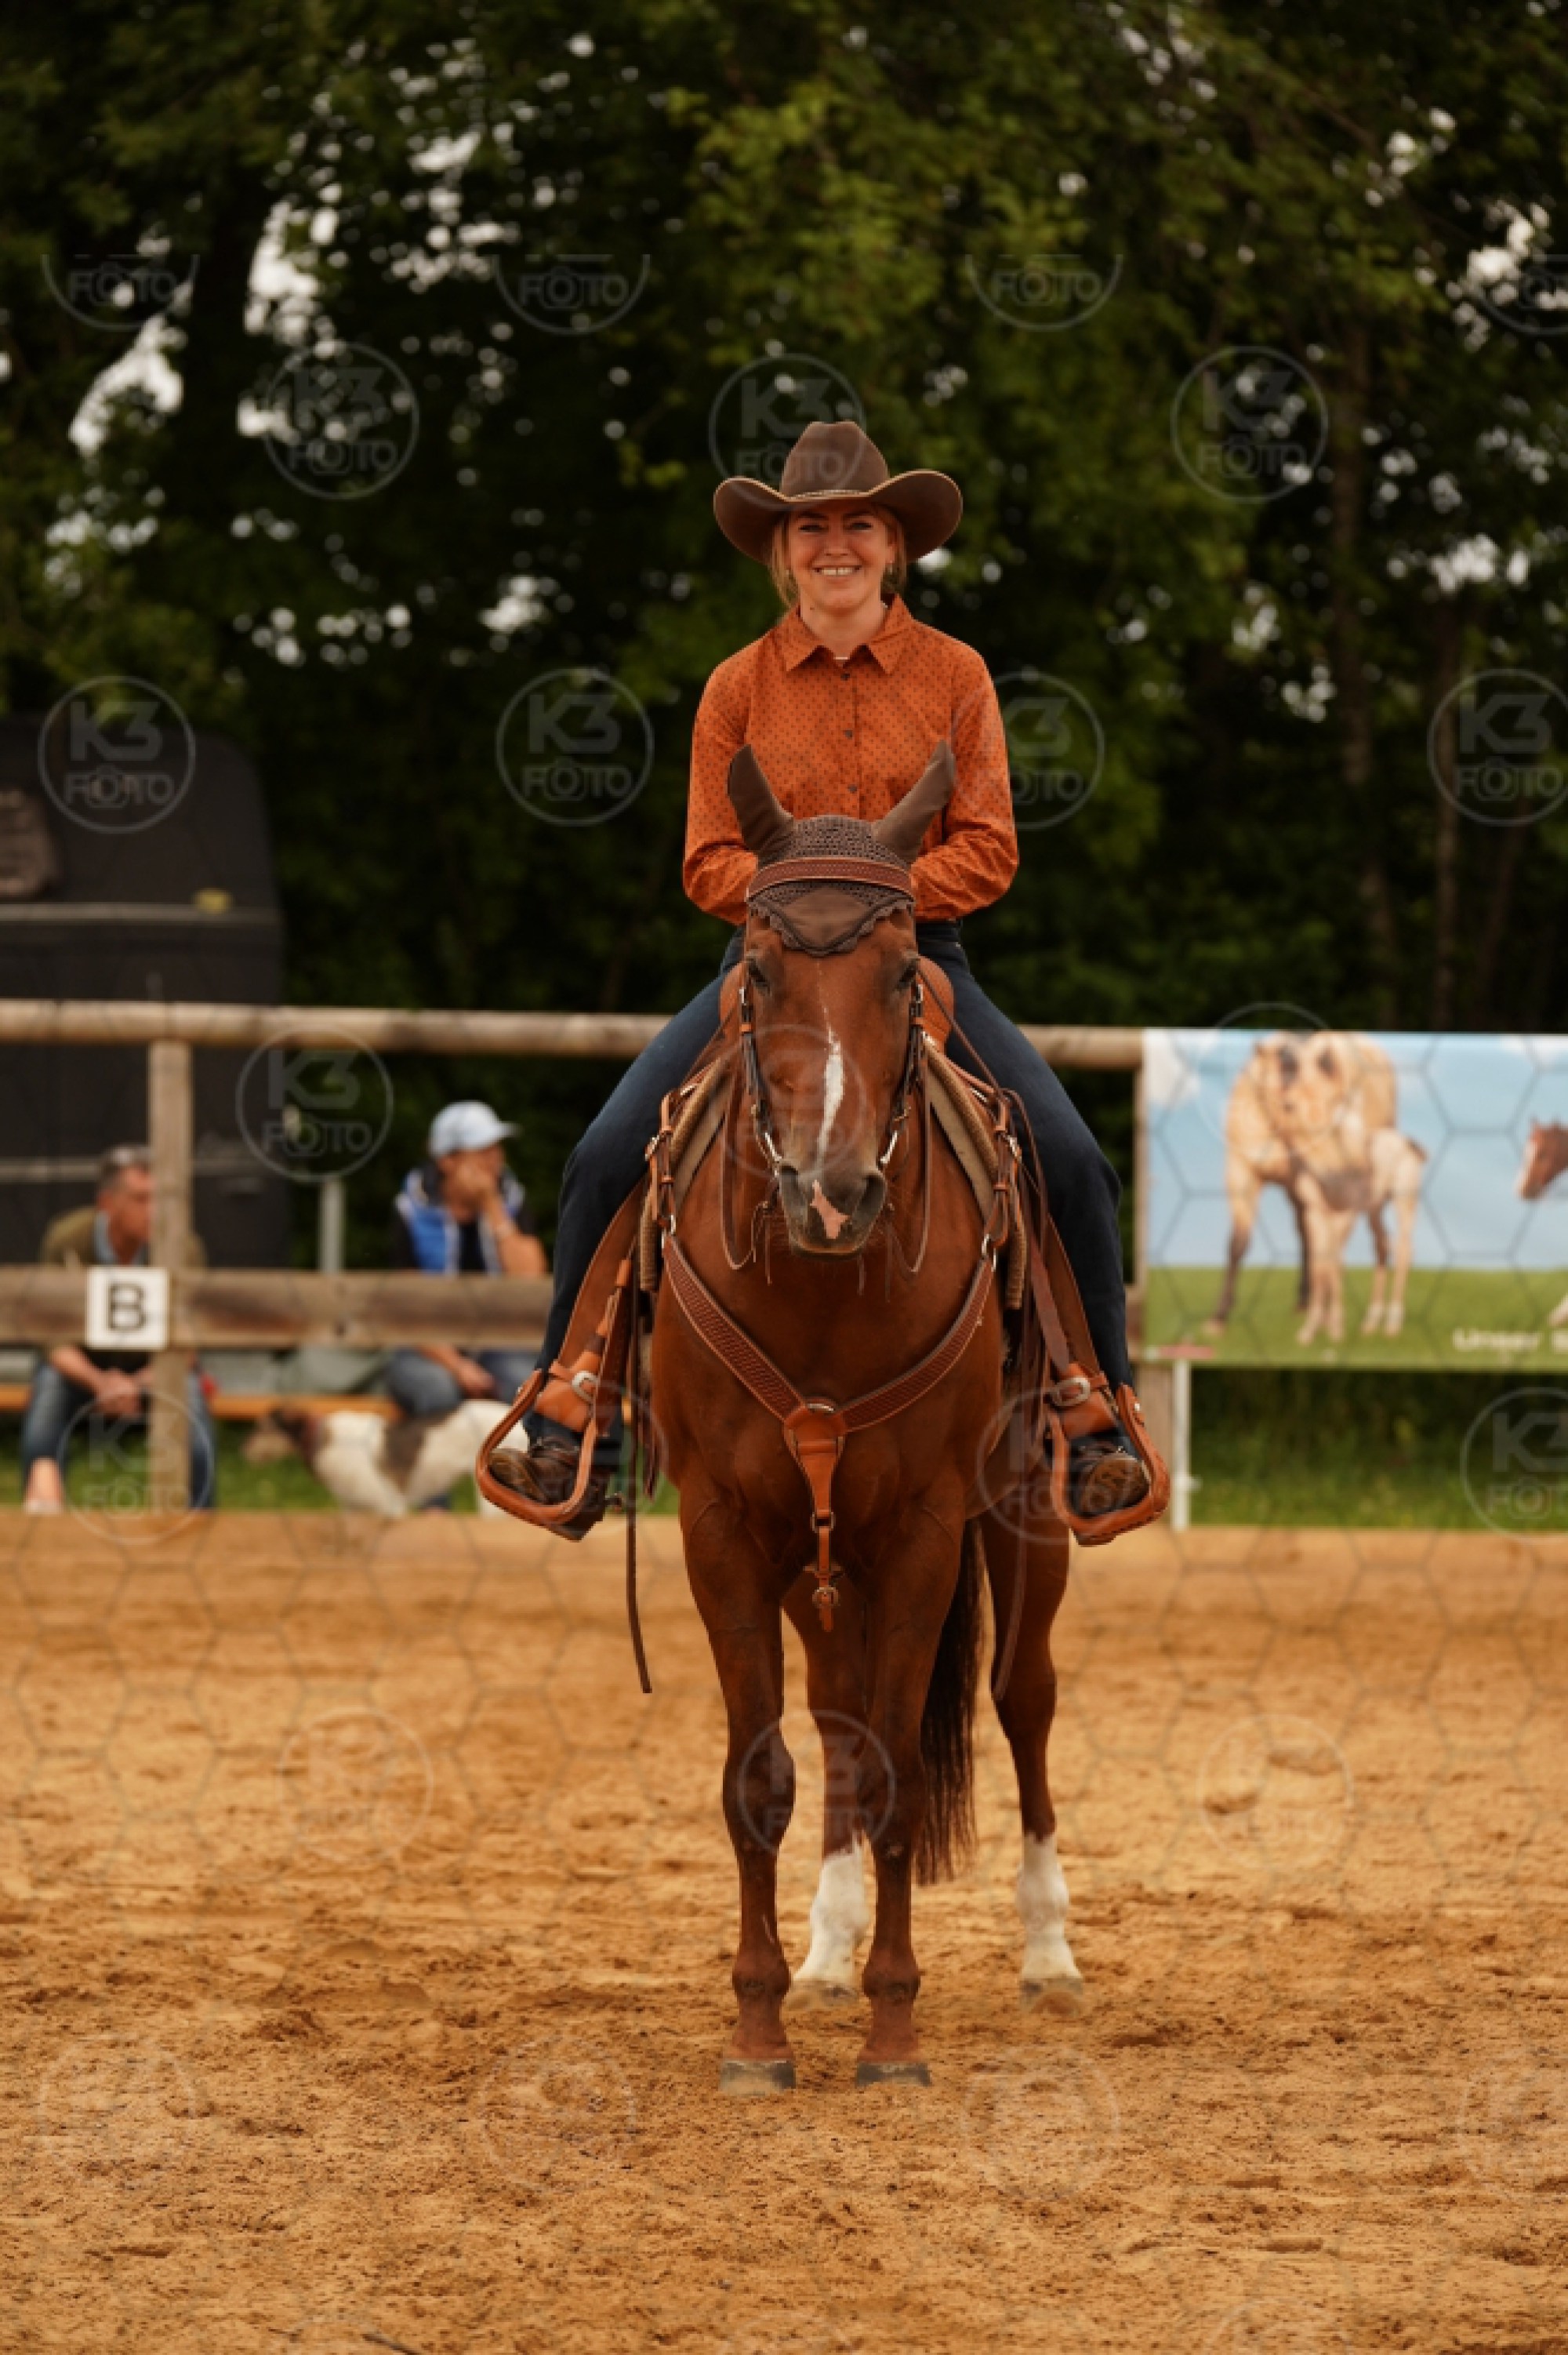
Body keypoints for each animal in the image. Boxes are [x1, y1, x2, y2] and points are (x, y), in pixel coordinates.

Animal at [648, 745, 1088, 2092]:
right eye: (756, 967)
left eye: (902, 972)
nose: (832, 1191)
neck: (823, 1285)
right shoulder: (722, 1525)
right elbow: (764, 1772)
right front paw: (758, 2028)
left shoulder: (927, 1526)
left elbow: (901, 1763)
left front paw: (897, 2034)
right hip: (811, 1554)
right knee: (837, 1711)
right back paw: (828, 1948)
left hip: (1026, 1512)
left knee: (1023, 1696)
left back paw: (1048, 1950)